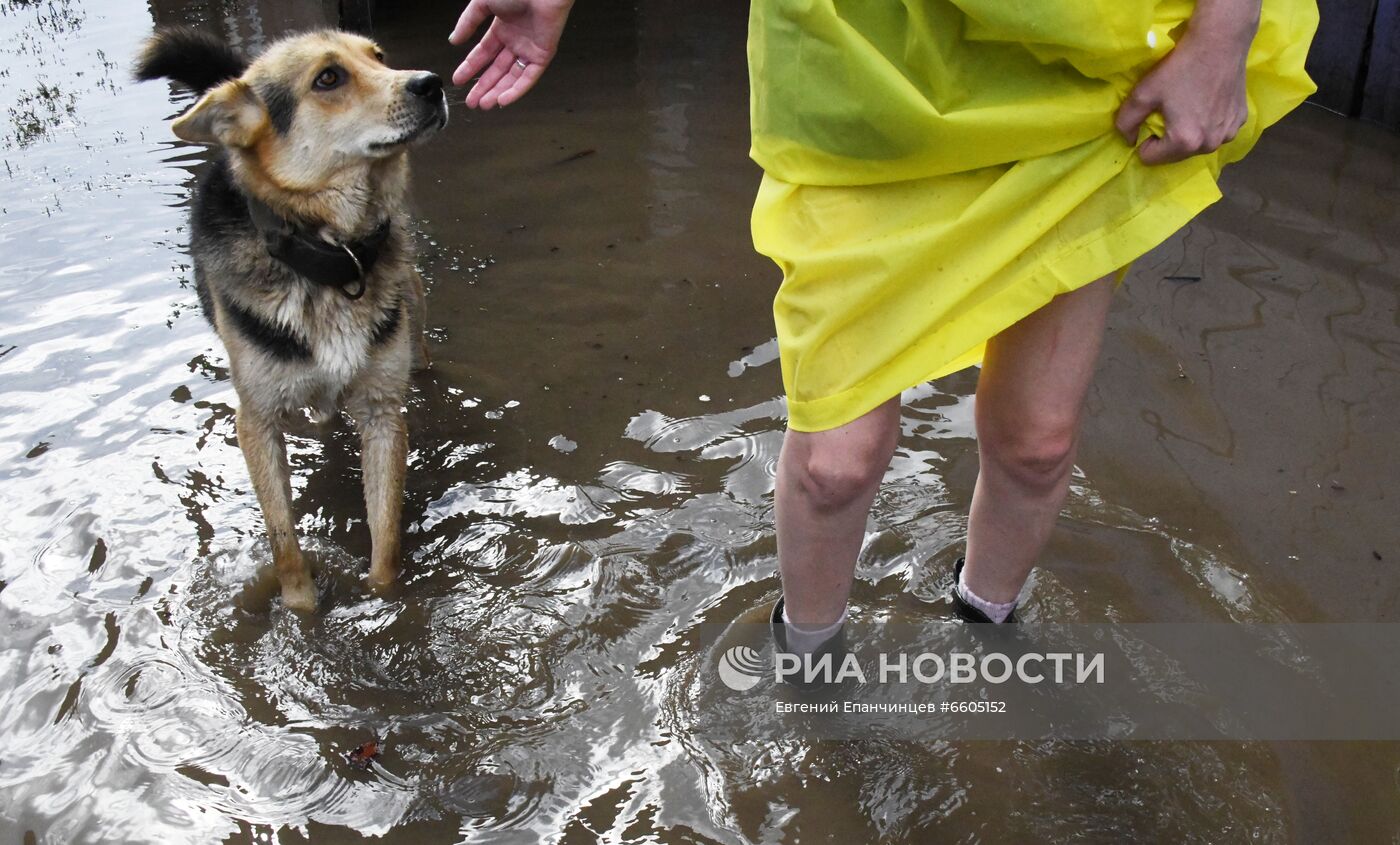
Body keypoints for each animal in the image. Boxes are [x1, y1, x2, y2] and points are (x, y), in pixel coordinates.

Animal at [134, 26, 445, 607]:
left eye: (379, 57)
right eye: (329, 78)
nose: (432, 83)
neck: (331, 259)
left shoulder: (381, 412)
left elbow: (386, 537)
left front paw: (381, 603)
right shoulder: (256, 421)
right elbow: (285, 545)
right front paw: (301, 611)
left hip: (413, 329)